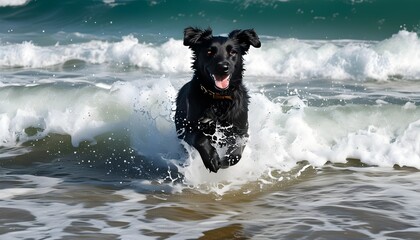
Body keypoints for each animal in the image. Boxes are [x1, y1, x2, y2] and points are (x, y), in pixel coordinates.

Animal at [174, 26, 260, 172]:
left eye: (233, 52)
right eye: (209, 51)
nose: (223, 67)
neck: (219, 98)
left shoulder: (241, 130)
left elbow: (237, 148)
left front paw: (226, 160)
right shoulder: (189, 129)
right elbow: (200, 138)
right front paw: (211, 159)